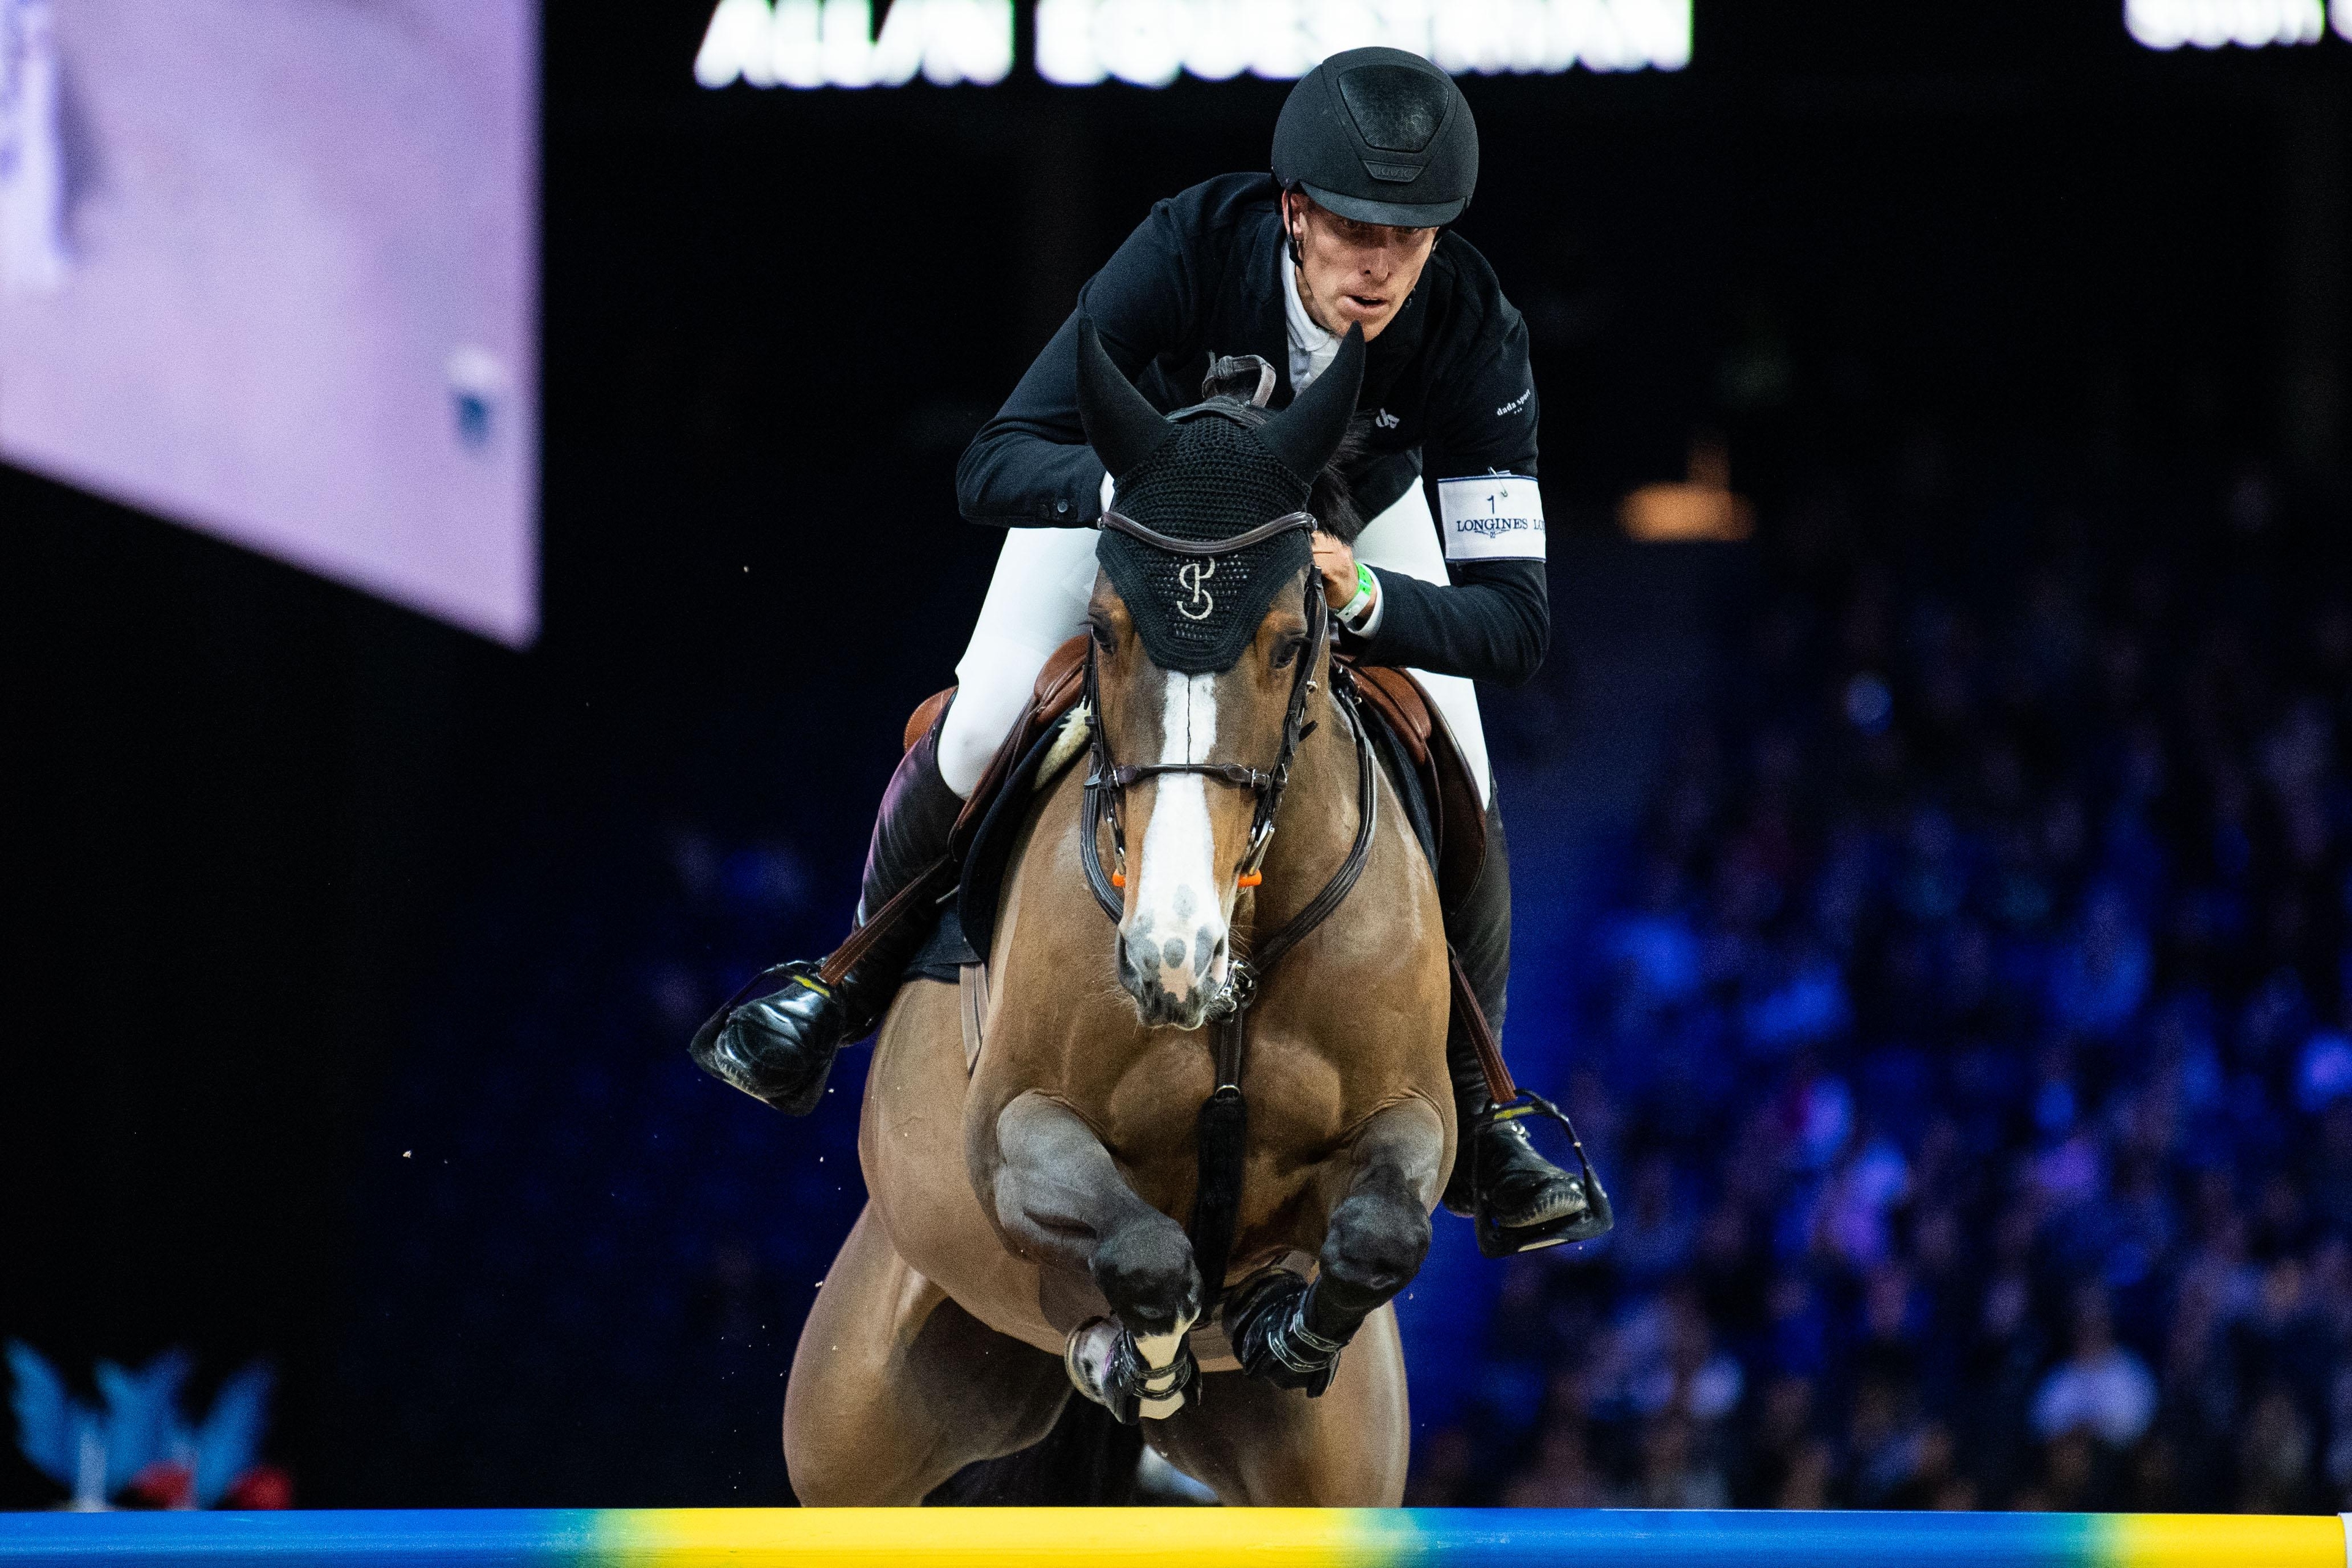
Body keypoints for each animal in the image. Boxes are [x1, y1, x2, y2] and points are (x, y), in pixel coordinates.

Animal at [785, 319, 1449, 1504]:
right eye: (1104, 630)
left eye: (1290, 642)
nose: (1167, 960)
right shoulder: (1012, 1138)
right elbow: (1146, 1256)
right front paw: (1140, 1352)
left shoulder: (1415, 1115)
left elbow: (1380, 1233)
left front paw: (1278, 1329)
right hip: (854, 1434)